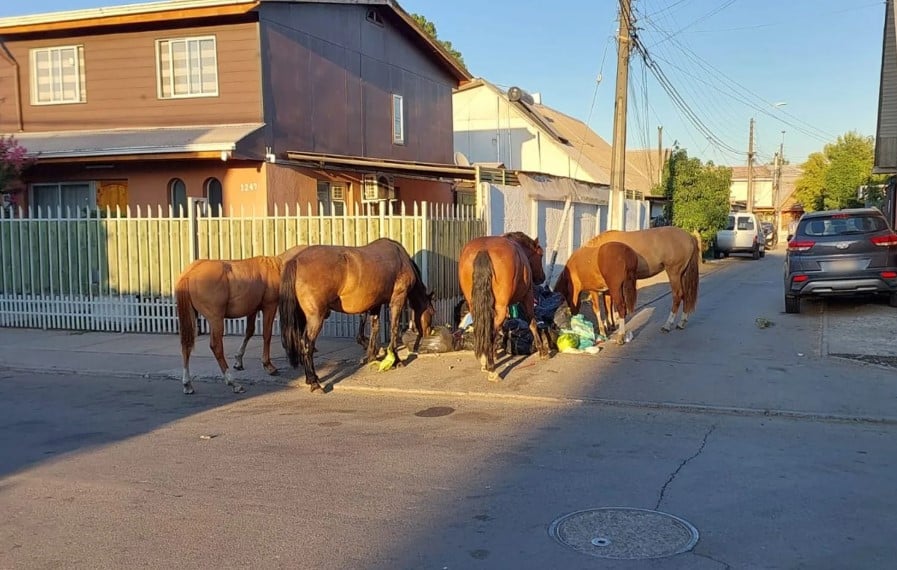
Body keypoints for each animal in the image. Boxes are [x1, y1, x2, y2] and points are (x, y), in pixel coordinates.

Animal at [175, 244, 307, 395]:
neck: (277, 267)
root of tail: (189, 273)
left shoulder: (252, 309)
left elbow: (249, 331)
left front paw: (239, 360)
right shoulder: (270, 306)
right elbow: (266, 335)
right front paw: (268, 365)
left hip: (190, 315)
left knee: (186, 345)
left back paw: (187, 384)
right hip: (216, 318)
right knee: (216, 346)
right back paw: (233, 382)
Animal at [278, 238, 435, 392]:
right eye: (432, 312)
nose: (429, 332)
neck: (401, 259)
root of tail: (296, 260)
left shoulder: (375, 304)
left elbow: (375, 328)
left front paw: (371, 356)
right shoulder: (398, 299)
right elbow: (394, 329)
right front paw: (395, 359)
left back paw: (312, 378)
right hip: (315, 317)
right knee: (307, 344)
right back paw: (314, 382)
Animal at [458, 231, 549, 381]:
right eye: (541, 254)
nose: (542, 278)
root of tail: (483, 250)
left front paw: (495, 351)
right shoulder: (527, 296)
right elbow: (532, 322)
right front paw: (542, 350)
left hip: (474, 305)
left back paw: (486, 359)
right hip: (501, 306)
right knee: (492, 330)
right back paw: (491, 368)